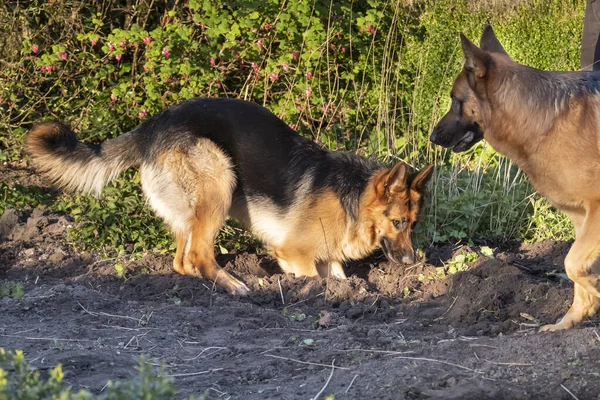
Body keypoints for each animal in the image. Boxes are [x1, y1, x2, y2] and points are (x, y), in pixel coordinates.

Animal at [25, 98, 434, 296]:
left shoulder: (330, 258)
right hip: (219, 181)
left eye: (413, 225)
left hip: (190, 209)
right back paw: (235, 286)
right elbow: (312, 278)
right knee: (199, 255)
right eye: (397, 222)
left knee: (182, 260)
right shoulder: (294, 254)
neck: (353, 197)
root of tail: (152, 126)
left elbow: (338, 276)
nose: (413, 263)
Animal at [432, 25, 600, 332]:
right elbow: (576, 269)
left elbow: (571, 264)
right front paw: (570, 321)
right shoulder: (582, 218)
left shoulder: (596, 211)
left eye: (454, 99)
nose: (433, 137)